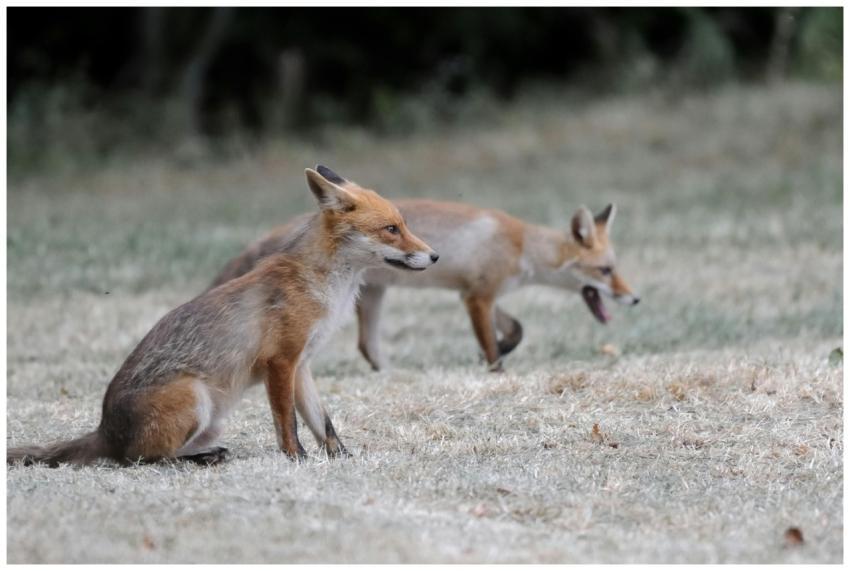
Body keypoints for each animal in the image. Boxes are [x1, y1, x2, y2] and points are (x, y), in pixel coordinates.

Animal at [7, 165, 438, 467]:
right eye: (391, 229)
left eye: (404, 224)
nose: (434, 256)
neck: (324, 287)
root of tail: (104, 430)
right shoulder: (281, 362)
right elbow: (288, 422)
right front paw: (296, 459)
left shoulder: (302, 365)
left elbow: (323, 422)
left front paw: (341, 459)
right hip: (193, 398)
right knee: (139, 459)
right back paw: (202, 459)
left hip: (212, 417)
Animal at [212, 177, 639, 372]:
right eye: (606, 271)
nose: (634, 298)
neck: (521, 246)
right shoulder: (478, 297)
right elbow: (491, 345)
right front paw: (495, 367)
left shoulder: (476, 293)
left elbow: (515, 330)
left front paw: (501, 349)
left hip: (373, 297)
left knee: (367, 346)